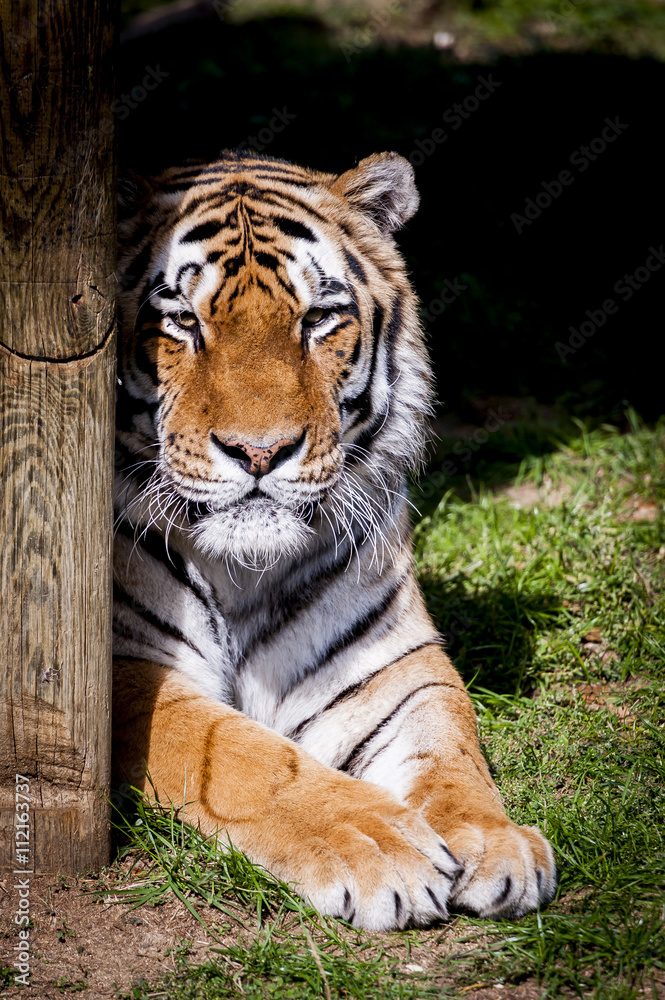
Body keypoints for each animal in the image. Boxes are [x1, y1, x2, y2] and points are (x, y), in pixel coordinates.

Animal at [112, 149, 556, 931]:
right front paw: (377, 844)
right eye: (181, 321)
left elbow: (449, 744)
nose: (259, 452)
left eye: (317, 319)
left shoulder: (389, 664)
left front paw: (496, 840)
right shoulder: (126, 664)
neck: (245, 570)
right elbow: (241, 753)